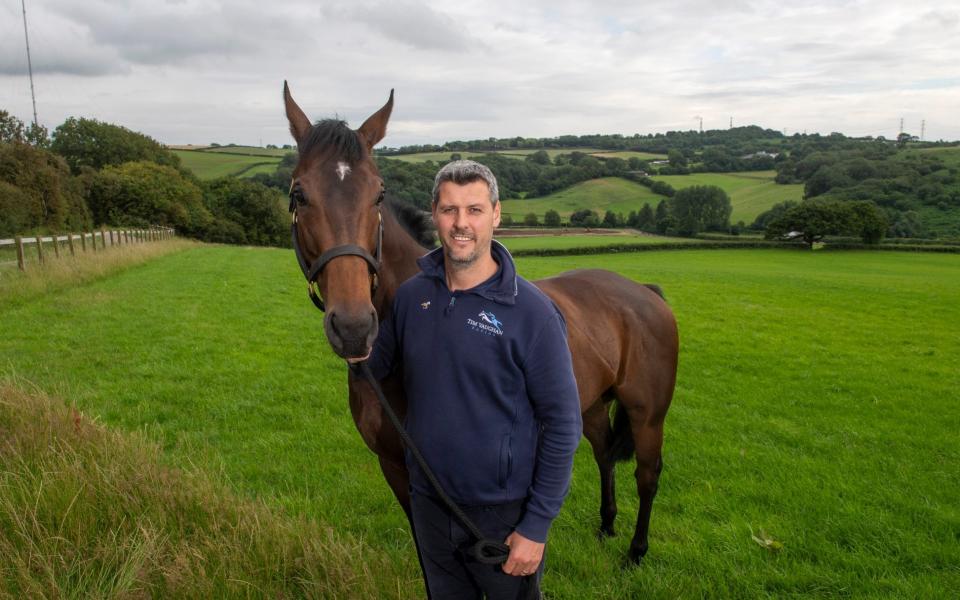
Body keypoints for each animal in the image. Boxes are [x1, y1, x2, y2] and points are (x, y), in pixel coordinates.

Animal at [282, 84, 680, 568]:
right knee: (604, 455)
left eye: (377, 194)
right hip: (589, 407)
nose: (355, 326)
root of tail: (643, 292)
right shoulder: (396, 469)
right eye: (299, 194)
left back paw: (636, 551)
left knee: (647, 474)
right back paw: (606, 525)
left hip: (647, 416)